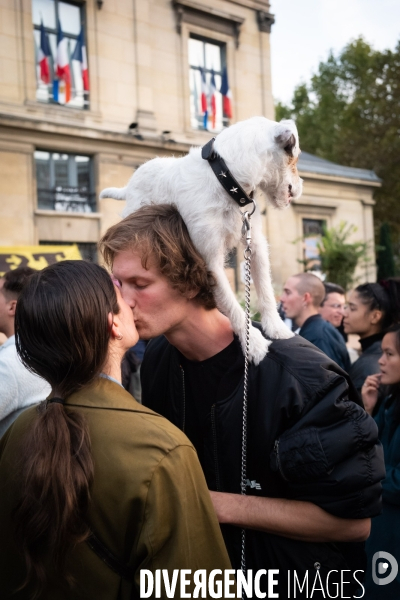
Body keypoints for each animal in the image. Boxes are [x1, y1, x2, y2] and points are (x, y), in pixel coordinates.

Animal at [101, 115, 304, 364]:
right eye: (295, 157)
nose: (301, 188)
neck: (225, 179)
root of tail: (128, 187)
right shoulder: (210, 261)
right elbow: (231, 303)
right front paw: (254, 344)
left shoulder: (254, 245)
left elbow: (265, 290)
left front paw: (276, 328)